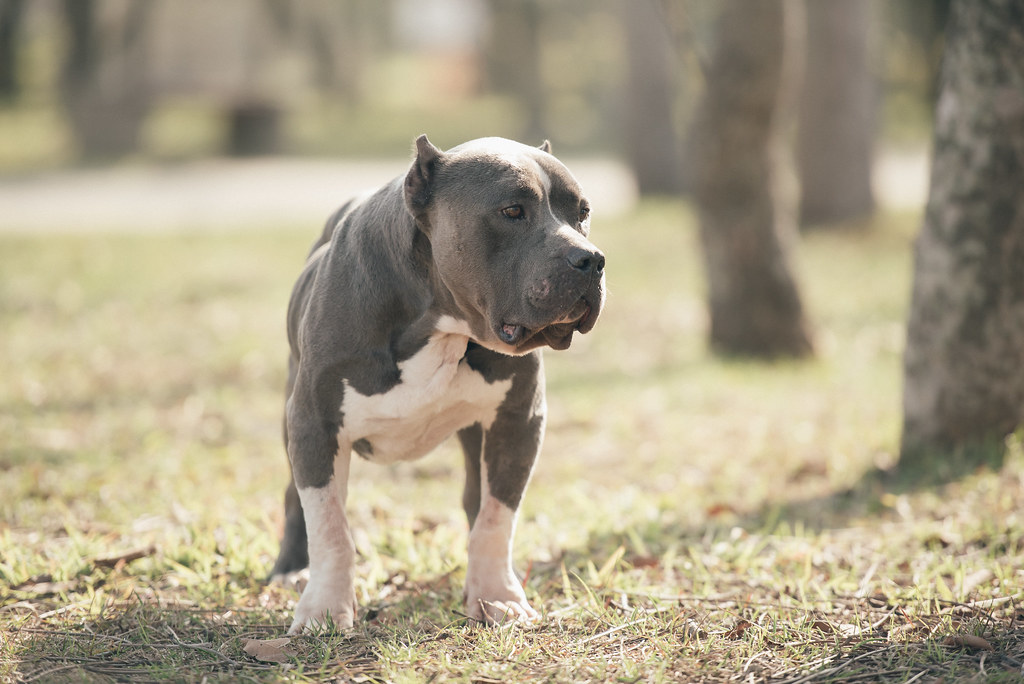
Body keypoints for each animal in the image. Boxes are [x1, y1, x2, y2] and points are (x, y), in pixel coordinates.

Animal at [270, 136, 606, 634]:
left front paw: (497, 596)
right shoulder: (316, 424)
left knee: (474, 502)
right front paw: (324, 609)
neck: (440, 325)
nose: (591, 258)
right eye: (512, 211)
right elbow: (330, 525)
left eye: (583, 212)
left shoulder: (517, 422)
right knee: (297, 498)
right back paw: (291, 569)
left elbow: (495, 519)